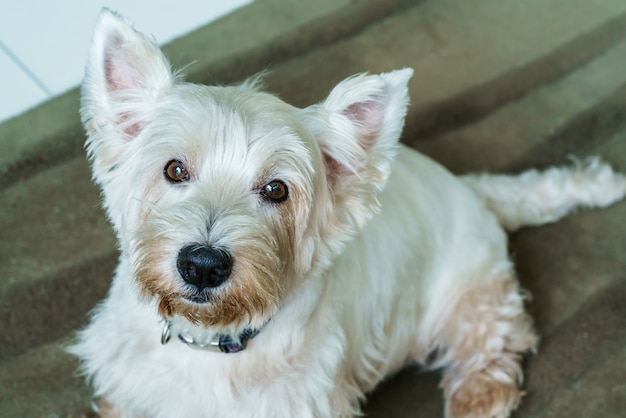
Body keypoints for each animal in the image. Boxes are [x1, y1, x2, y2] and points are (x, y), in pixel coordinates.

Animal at [69, 9, 624, 418]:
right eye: (175, 169)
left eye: (276, 189)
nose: (203, 265)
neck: (210, 341)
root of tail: (468, 186)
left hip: (472, 296)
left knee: (497, 343)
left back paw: (478, 396)